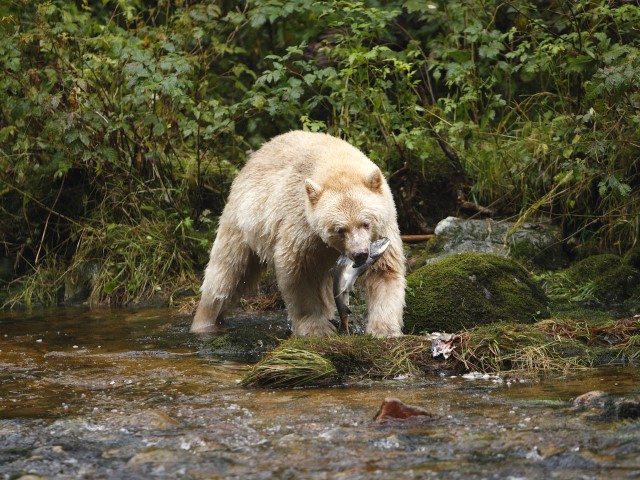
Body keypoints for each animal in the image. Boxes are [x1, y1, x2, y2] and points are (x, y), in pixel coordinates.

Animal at [192, 130, 406, 337]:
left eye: (365, 223)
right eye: (340, 229)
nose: (360, 254)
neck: (336, 162)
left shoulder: (384, 227)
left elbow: (384, 272)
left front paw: (384, 329)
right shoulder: (302, 225)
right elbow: (298, 271)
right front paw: (316, 328)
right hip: (242, 220)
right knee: (227, 272)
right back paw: (204, 322)